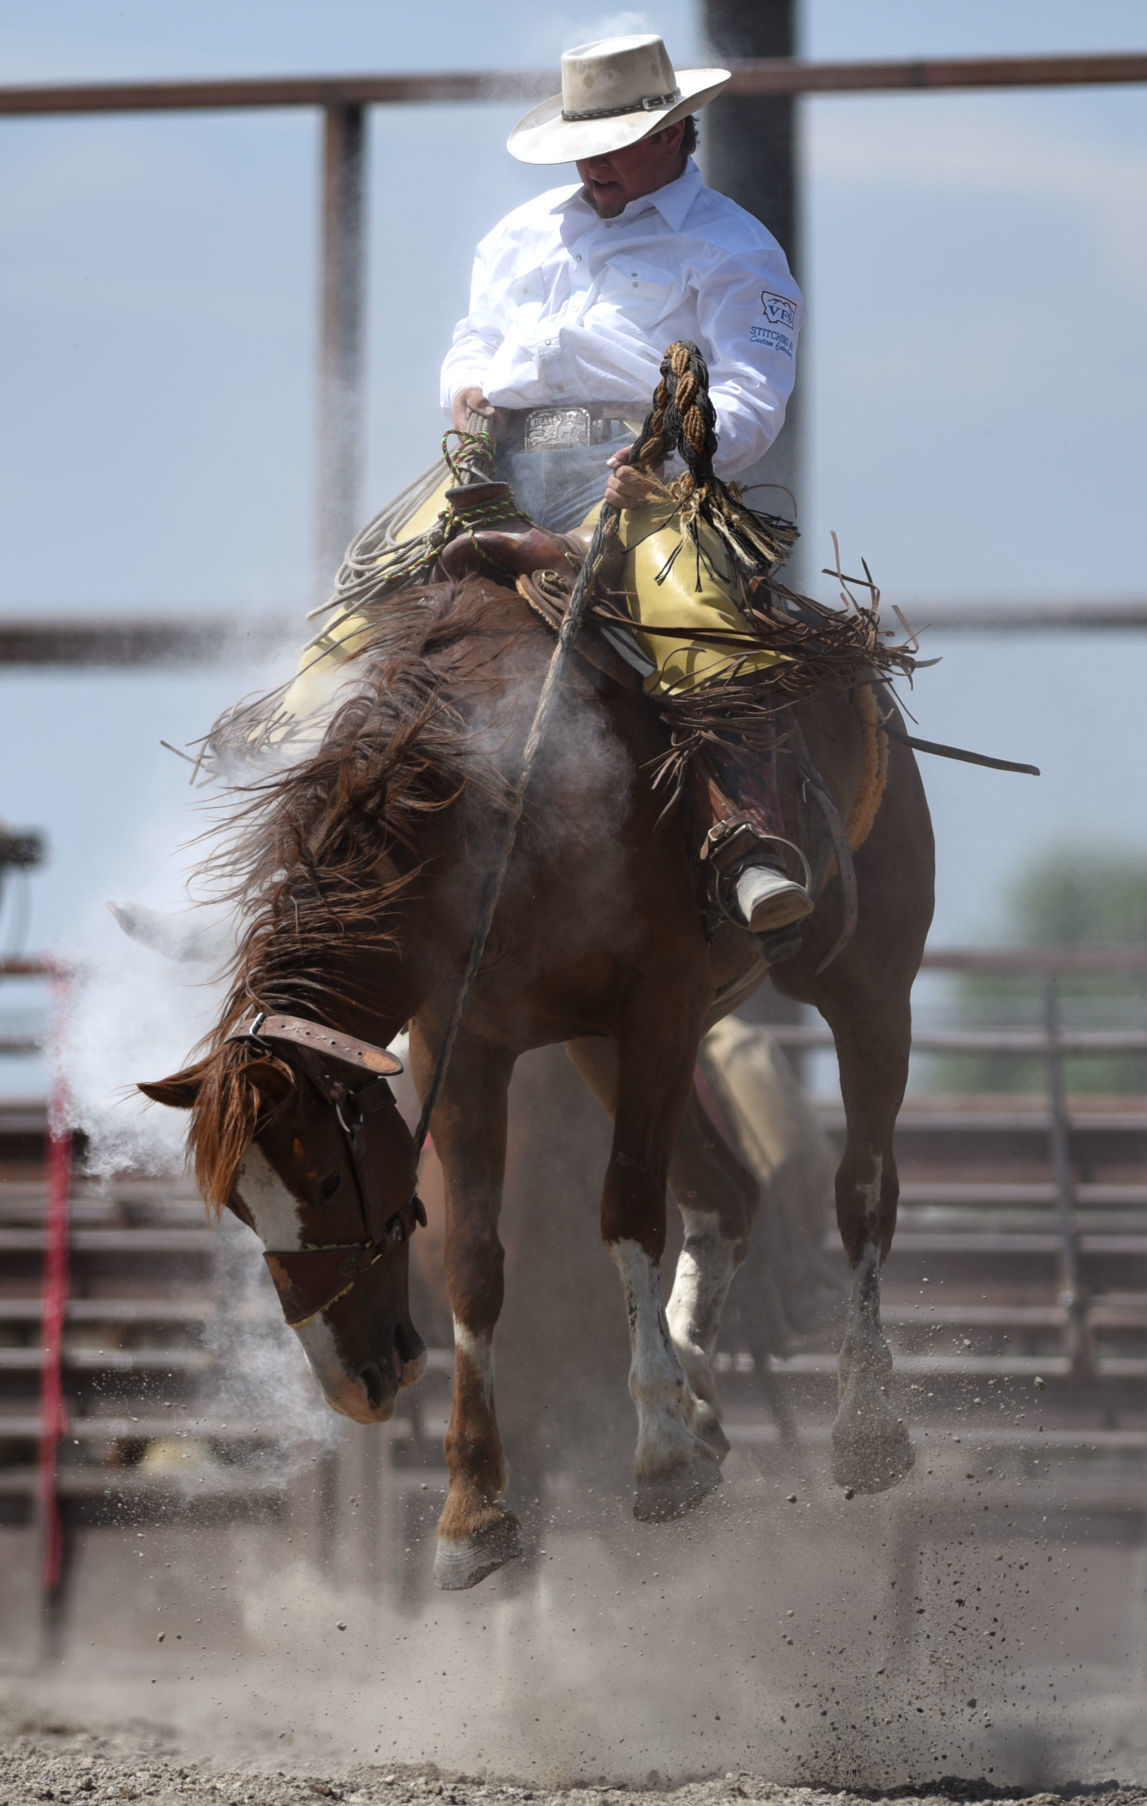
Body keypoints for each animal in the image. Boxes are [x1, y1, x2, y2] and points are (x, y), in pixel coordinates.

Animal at [141, 570, 932, 1589]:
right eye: (239, 1207)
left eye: (320, 1180)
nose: (352, 1387)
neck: (494, 813)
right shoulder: (462, 1045)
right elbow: (476, 1265)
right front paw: (472, 1510)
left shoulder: (659, 1006)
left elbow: (627, 1215)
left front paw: (660, 1457)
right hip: (603, 1048)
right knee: (724, 1196)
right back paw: (699, 1395)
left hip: (864, 983)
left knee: (861, 1190)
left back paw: (862, 1425)